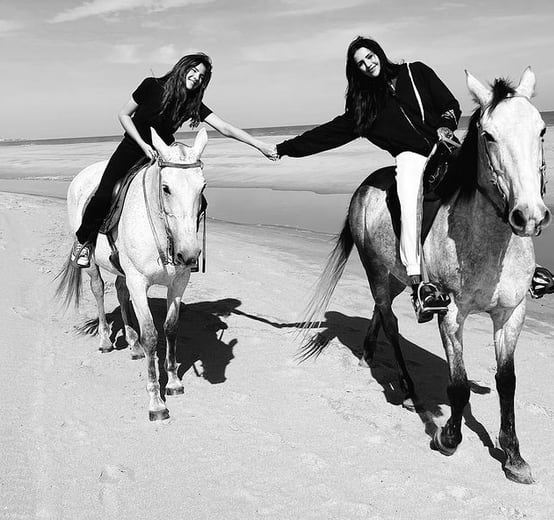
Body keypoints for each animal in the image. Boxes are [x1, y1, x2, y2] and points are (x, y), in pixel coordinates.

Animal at [56, 128, 207, 420]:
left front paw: (173, 382)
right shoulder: (139, 282)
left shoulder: (179, 283)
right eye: (166, 188)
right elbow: (150, 334)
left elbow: (171, 328)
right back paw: (105, 339)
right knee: (98, 290)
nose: (189, 254)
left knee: (120, 291)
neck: (162, 231)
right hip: (92, 264)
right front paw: (156, 403)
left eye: (202, 187)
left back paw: (132, 344)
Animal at [302, 69, 548, 484]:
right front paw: (448, 438)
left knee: (379, 310)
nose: (528, 215)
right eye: (488, 135)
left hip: (398, 275)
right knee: (388, 318)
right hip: (375, 269)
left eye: (542, 130)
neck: (489, 240)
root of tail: (362, 188)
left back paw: (369, 355)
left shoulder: (511, 314)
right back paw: (406, 390)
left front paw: (514, 457)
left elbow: (507, 382)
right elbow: (459, 385)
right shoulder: (451, 313)